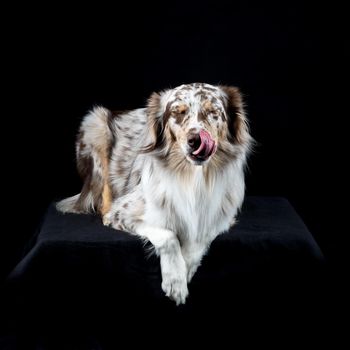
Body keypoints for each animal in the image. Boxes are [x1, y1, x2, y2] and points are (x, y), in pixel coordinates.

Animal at [58, 82, 254, 304]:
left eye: (213, 112)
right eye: (178, 113)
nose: (196, 140)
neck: (193, 179)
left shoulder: (222, 218)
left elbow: (199, 239)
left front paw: (185, 269)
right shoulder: (125, 212)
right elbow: (168, 235)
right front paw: (175, 280)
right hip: (96, 124)